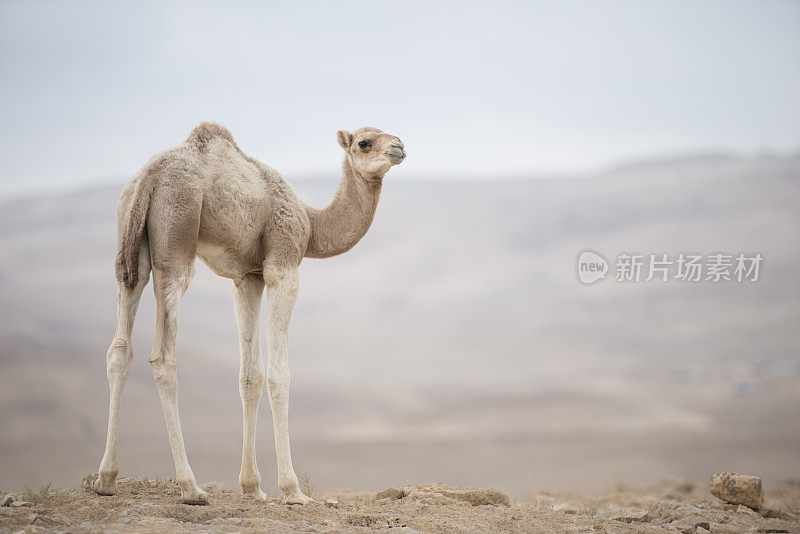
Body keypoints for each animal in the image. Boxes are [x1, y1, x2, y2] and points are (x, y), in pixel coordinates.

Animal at [90, 122, 406, 506]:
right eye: (364, 142)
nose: (399, 147)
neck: (311, 224)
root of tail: (149, 176)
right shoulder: (282, 266)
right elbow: (278, 375)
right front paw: (292, 489)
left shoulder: (248, 277)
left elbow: (250, 376)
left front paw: (252, 487)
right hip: (176, 241)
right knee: (163, 356)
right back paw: (190, 487)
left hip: (131, 250)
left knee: (119, 350)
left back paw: (106, 479)